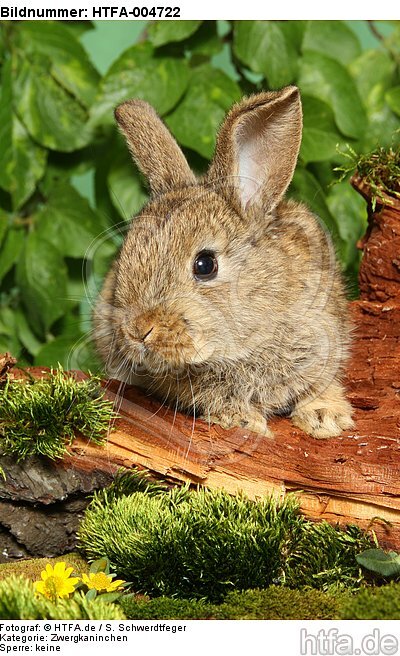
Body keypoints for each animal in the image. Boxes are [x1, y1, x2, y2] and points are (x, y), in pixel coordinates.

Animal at [93, 86, 354, 439]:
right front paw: (243, 421)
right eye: (124, 258)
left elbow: (321, 383)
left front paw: (327, 419)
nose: (138, 331)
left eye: (205, 265)